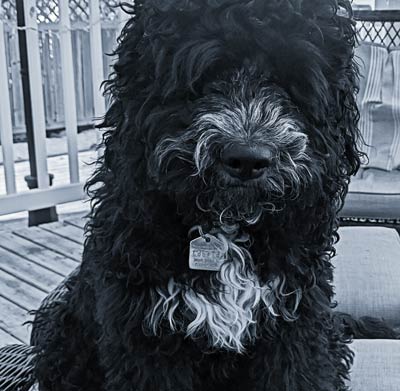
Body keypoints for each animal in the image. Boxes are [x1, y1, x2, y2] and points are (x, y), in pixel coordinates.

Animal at [32, 0, 390, 391]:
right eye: (202, 77)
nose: (248, 158)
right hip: (62, 332)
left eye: (291, 80)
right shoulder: (147, 335)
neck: (227, 228)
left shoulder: (297, 324)